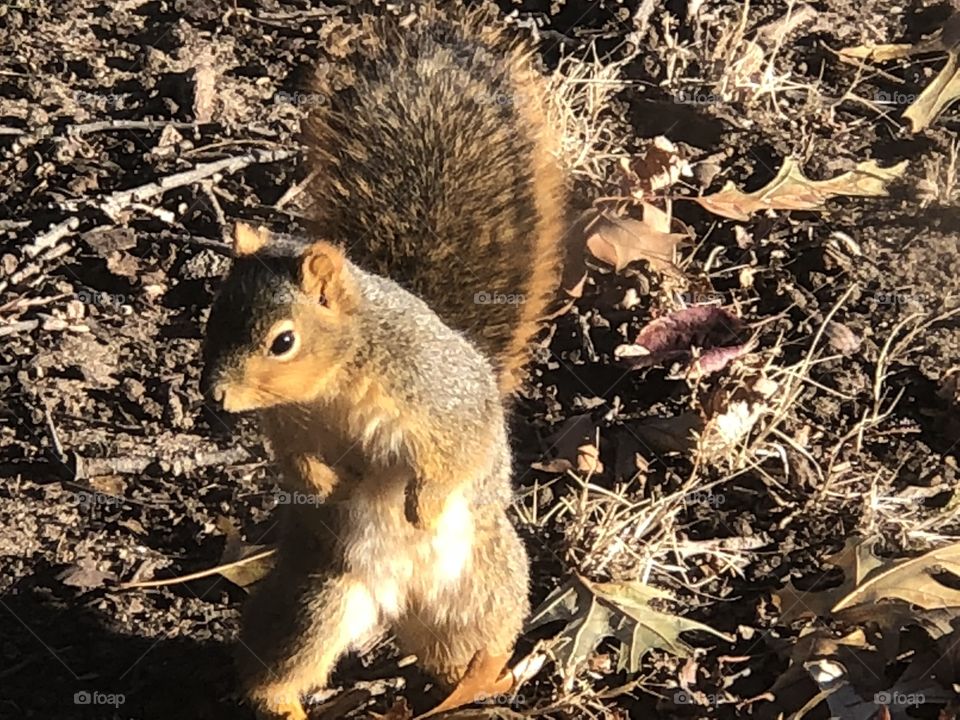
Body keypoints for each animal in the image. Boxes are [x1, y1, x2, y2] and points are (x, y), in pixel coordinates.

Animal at [200, 5, 568, 720]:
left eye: (282, 341)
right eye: (211, 317)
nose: (217, 396)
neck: (337, 380)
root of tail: (398, 605)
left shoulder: (440, 397)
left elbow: (454, 453)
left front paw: (421, 507)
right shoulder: (287, 425)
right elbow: (297, 464)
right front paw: (325, 486)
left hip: (482, 590)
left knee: (468, 655)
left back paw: (496, 677)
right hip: (315, 601)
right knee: (277, 670)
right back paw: (289, 705)